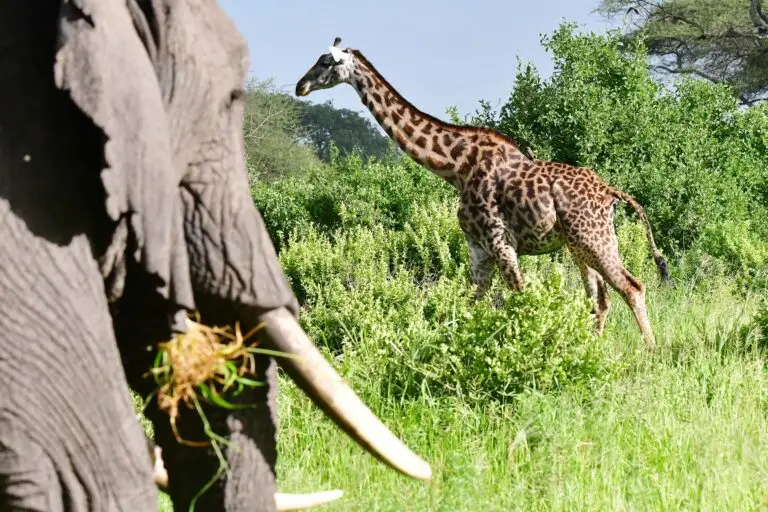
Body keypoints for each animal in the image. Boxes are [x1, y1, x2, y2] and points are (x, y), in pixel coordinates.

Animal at [296, 38, 668, 346]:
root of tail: (610, 192)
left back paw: (650, 351)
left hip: (594, 239)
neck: (455, 167)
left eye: (326, 61)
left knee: (632, 287)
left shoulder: (501, 242)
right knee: (600, 299)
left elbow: (521, 300)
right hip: (578, 245)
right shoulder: (478, 248)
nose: (301, 86)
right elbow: (471, 305)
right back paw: (594, 348)